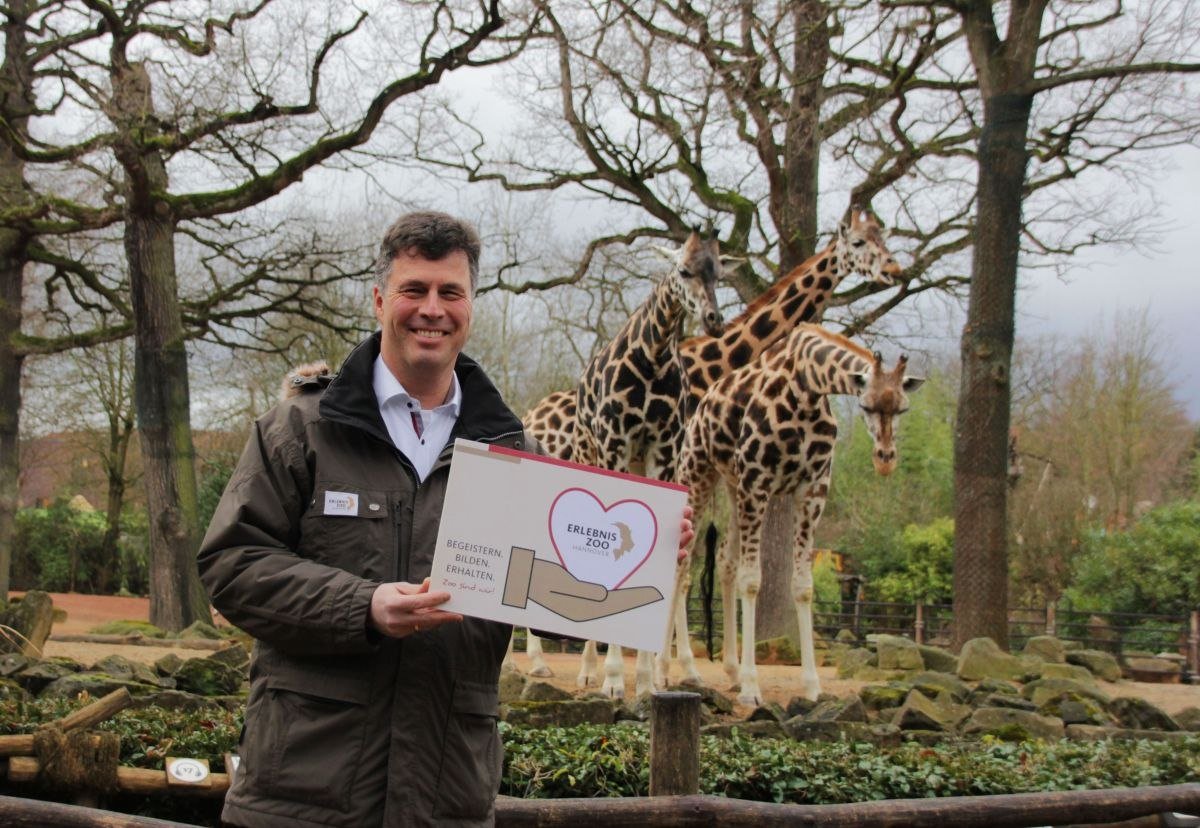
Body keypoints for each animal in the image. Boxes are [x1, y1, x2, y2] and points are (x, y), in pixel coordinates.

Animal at [516, 205, 902, 676]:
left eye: (883, 237)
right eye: (860, 243)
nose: (894, 268)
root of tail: (532, 413)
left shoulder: (710, 474)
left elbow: (715, 563)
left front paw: (699, 669)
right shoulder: (693, 468)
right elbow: (686, 568)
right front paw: (674, 668)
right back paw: (549, 662)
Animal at [672, 321, 921, 700]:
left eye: (903, 409)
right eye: (865, 405)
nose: (885, 459)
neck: (807, 388)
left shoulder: (812, 488)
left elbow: (802, 586)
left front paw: (812, 687)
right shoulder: (758, 480)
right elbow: (752, 581)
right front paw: (752, 687)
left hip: (732, 484)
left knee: (725, 564)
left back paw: (730, 670)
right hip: (699, 473)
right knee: (683, 565)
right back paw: (673, 670)